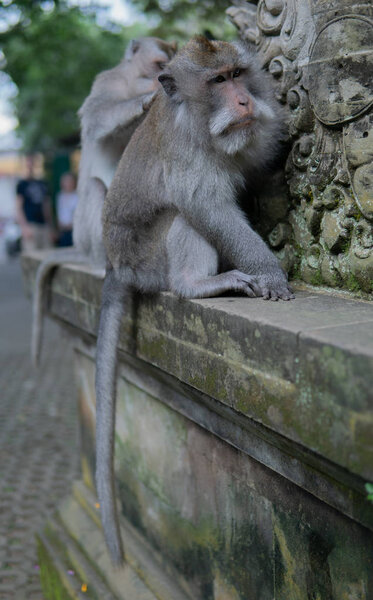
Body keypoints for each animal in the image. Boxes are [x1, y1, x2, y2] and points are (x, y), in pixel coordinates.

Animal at [30, 39, 177, 366]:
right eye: (160, 65)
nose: (162, 82)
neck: (131, 81)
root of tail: (82, 249)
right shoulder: (107, 82)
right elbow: (98, 114)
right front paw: (146, 99)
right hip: (86, 234)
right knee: (98, 191)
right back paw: (103, 265)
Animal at [95, 37, 294, 568]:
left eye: (238, 74)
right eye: (217, 82)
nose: (244, 101)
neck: (200, 121)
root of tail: (116, 266)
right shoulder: (186, 151)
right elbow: (207, 206)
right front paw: (270, 271)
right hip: (149, 259)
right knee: (184, 217)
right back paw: (198, 284)